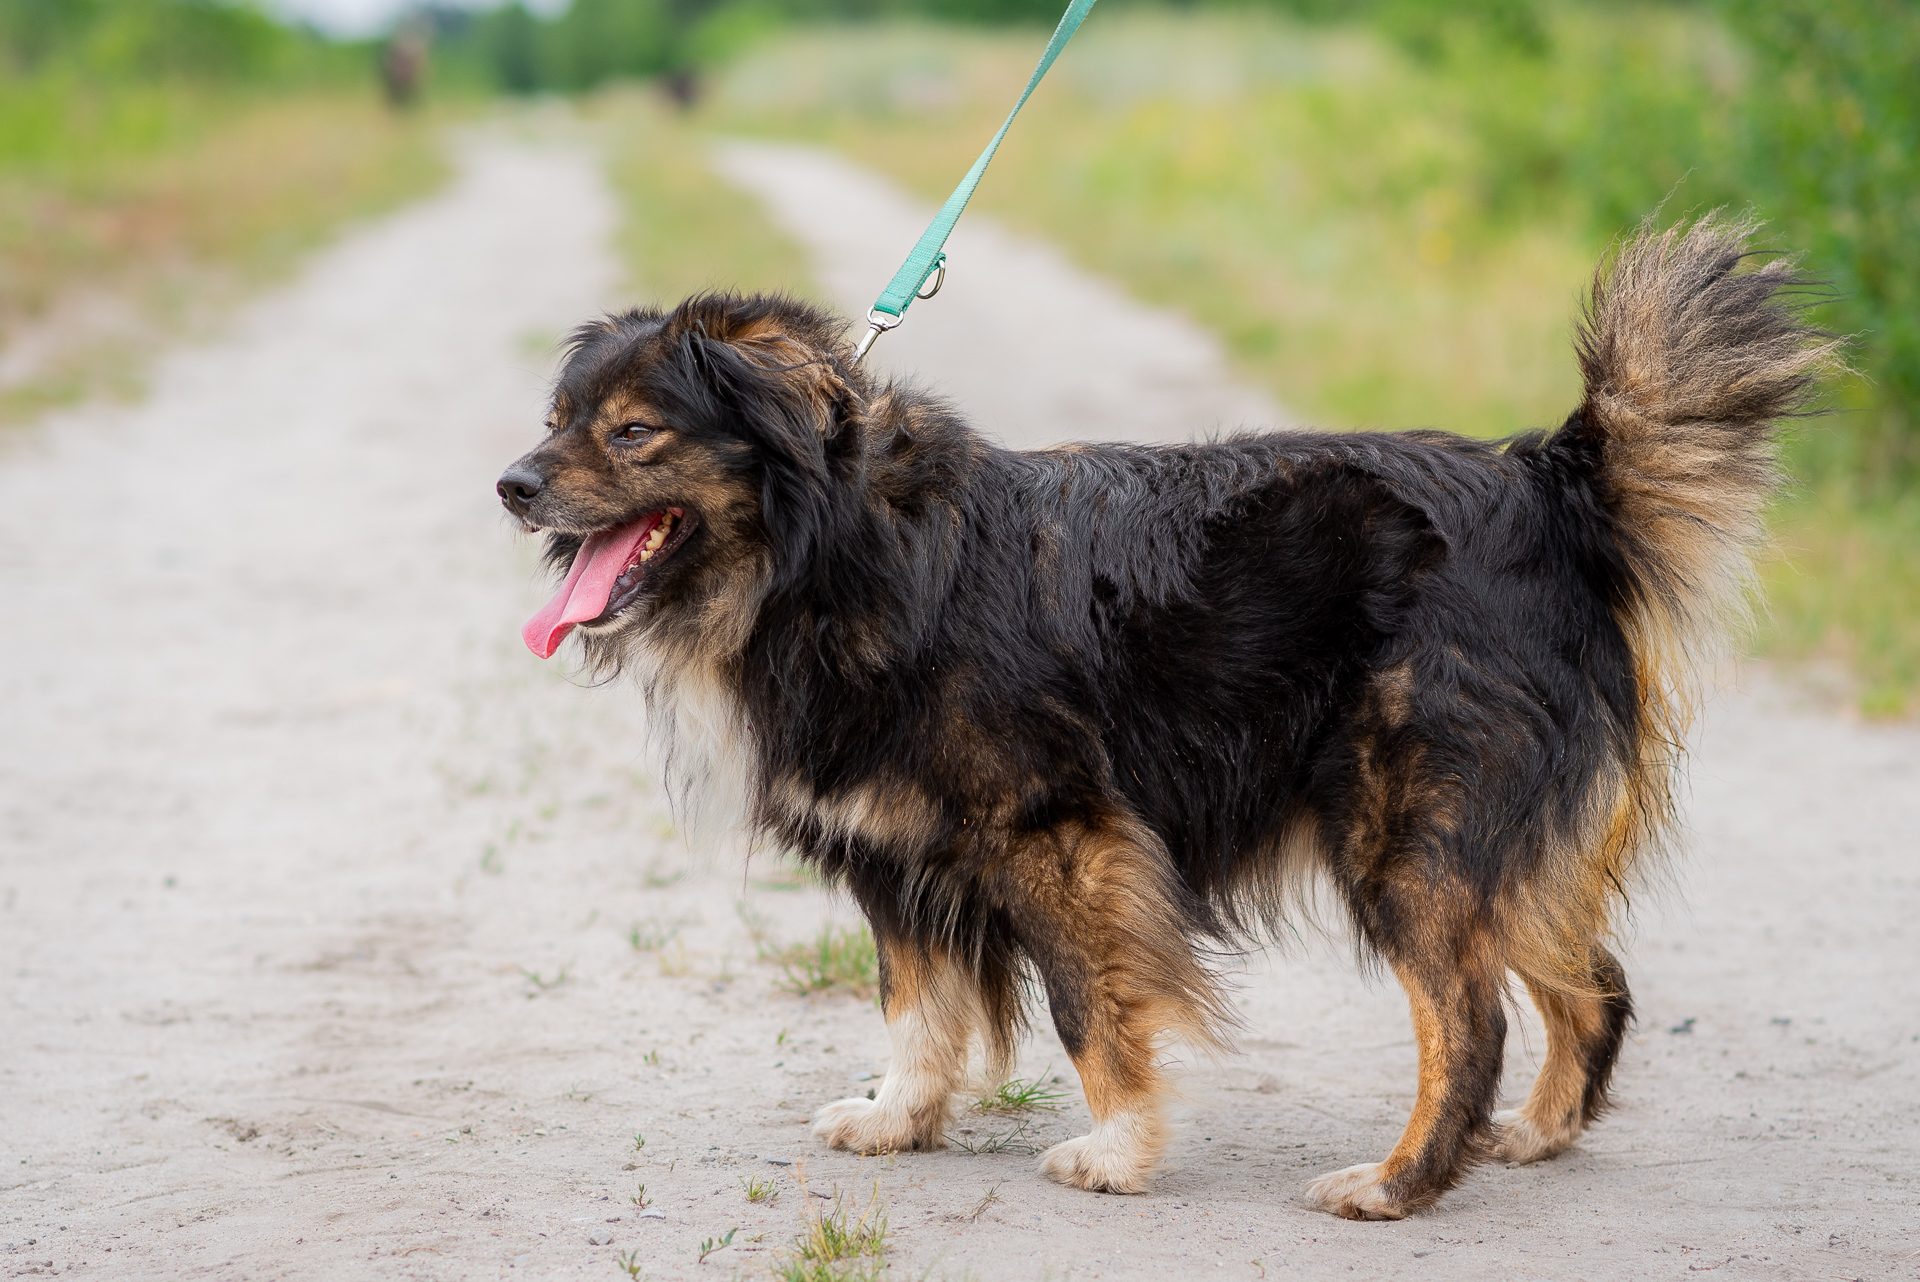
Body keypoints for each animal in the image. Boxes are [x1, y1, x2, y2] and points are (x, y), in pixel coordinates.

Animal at [491, 214, 1827, 1220]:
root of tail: (1552, 481)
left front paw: (1119, 1149)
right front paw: (898, 1116)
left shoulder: (1061, 834)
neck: (830, 559)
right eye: (555, 422)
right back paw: (1534, 1137)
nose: (508, 483)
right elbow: (916, 1004)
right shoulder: (892, 851)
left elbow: (1090, 1008)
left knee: (1472, 1016)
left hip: (1406, 830)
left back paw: (1399, 1182)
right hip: (1496, 838)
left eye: (633, 431)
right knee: (1590, 983)